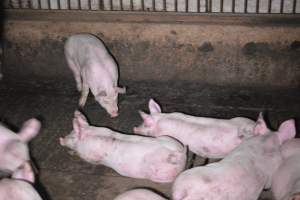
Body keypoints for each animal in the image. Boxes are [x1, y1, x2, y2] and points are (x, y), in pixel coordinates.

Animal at [59, 111, 188, 183]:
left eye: (72, 137)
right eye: (70, 133)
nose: (60, 139)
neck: (89, 134)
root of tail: (178, 154)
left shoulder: (90, 156)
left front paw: (72, 153)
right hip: (168, 138)